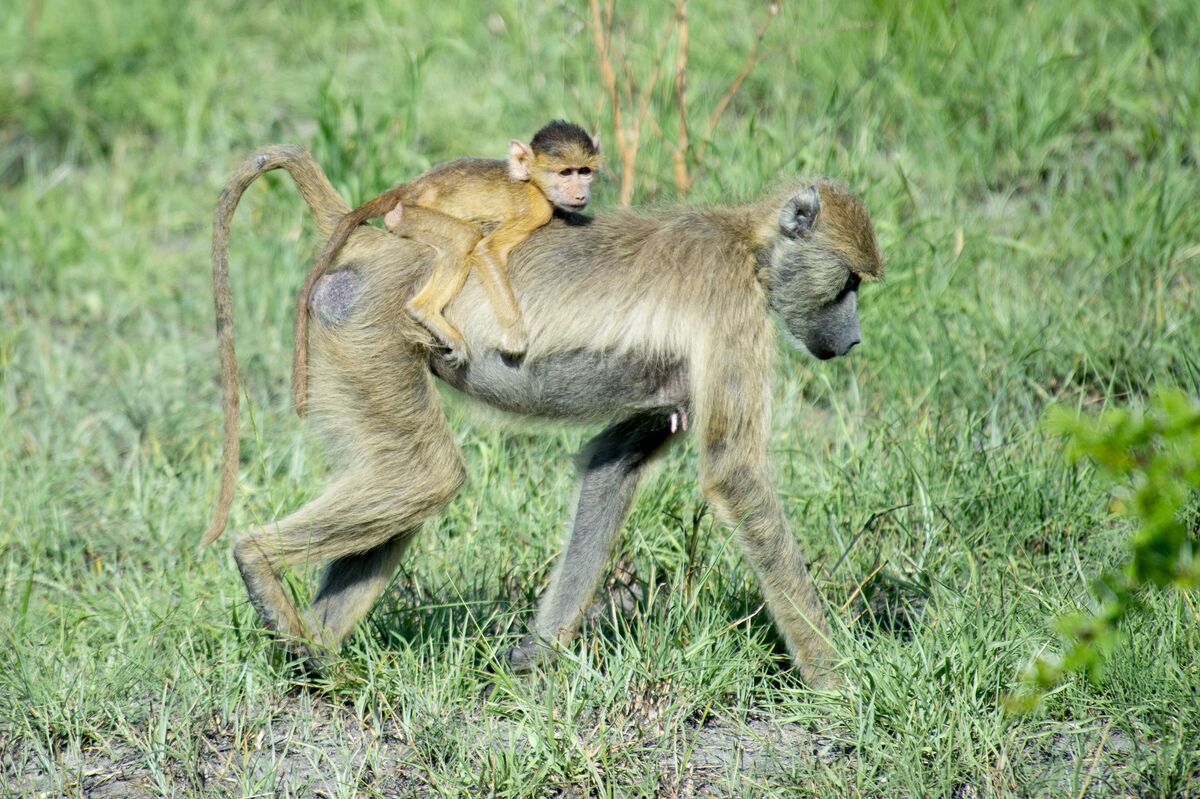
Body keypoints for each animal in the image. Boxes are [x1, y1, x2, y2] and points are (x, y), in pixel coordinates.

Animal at [289, 120, 602, 416]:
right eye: (565, 173)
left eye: (584, 171)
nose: (580, 194)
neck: (533, 183)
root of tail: (411, 187)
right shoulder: (536, 210)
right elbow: (487, 250)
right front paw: (515, 337)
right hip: (412, 217)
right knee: (465, 237)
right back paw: (425, 311)